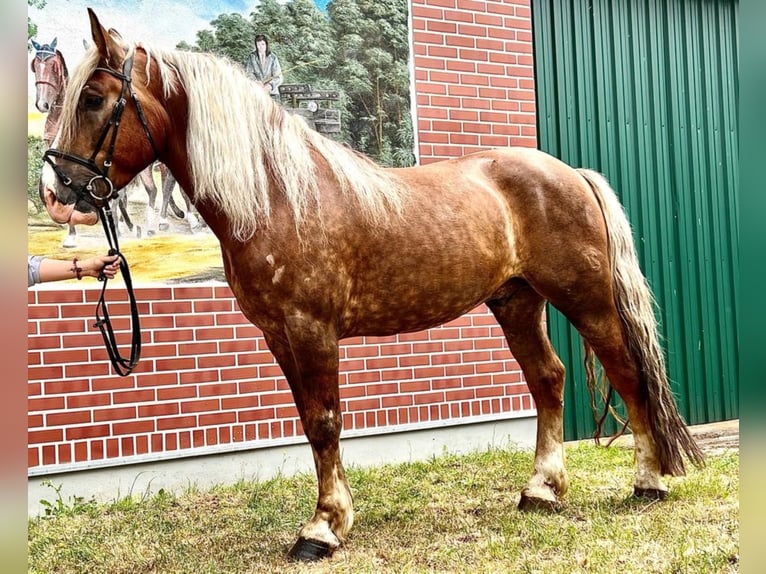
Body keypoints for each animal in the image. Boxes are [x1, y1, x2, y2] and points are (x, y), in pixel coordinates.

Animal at [31, 37, 190, 245]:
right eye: (34, 65)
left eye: (54, 66)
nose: (43, 104)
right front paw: (73, 233)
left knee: (164, 185)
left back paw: (166, 220)